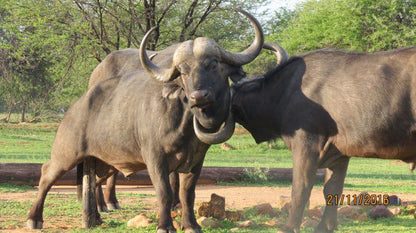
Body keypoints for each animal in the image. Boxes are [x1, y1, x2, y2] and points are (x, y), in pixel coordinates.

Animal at [27, 8, 264, 232]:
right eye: (183, 71)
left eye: (213, 64)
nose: (199, 96)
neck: (184, 124)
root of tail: (74, 108)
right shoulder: (155, 158)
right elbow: (165, 192)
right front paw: (165, 225)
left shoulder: (196, 160)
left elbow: (188, 193)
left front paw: (191, 225)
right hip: (66, 154)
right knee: (46, 174)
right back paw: (34, 219)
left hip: (102, 162)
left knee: (92, 182)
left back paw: (95, 218)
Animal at [232, 42, 414, 233]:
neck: (286, 92)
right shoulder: (339, 155)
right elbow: (332, 189)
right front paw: (326, 225)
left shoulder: (306, 145)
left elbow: (301, 188)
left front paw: (289, 227)